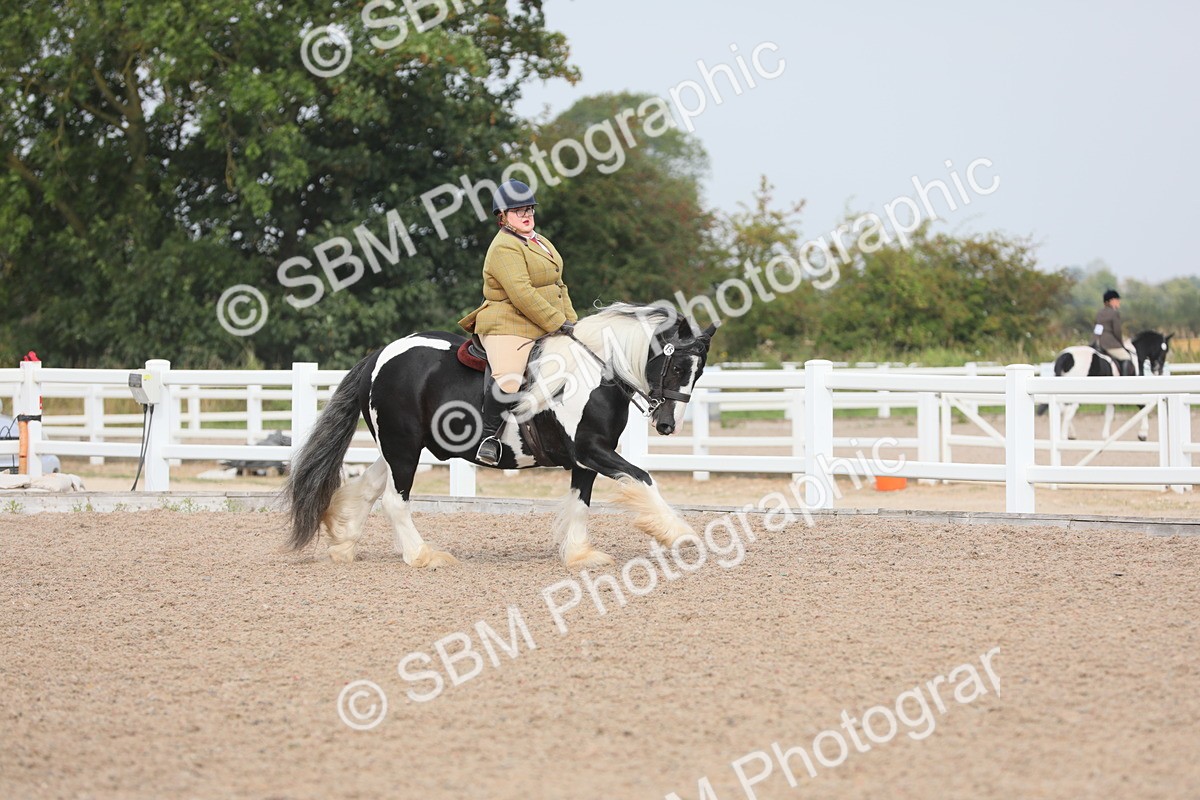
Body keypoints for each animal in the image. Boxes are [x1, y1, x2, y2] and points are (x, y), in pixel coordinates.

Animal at [282, 303, 717, 568]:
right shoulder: (592, 449)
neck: (595, 371)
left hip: (398, 446)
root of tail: (380, 355)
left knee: (371, 486)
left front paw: (579, 555)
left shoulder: (587, 457)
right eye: (679, 366)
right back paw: (422, 556)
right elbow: (643, 478)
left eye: (699, 372)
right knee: (393, 499)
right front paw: (682, 535)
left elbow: (581, 503)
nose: (667, 424)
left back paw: (343, 541)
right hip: (404, 449)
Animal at [1040, 331, 1173, 442]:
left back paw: (1070, 434)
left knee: (1062, 409)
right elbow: (1143, 406)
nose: (1159, 370)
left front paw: (1106, 437)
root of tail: (1066, 356)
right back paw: (1064, 436)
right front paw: (1142, 434)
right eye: (1164, 350)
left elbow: (1109, 414)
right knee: (1067, 412)